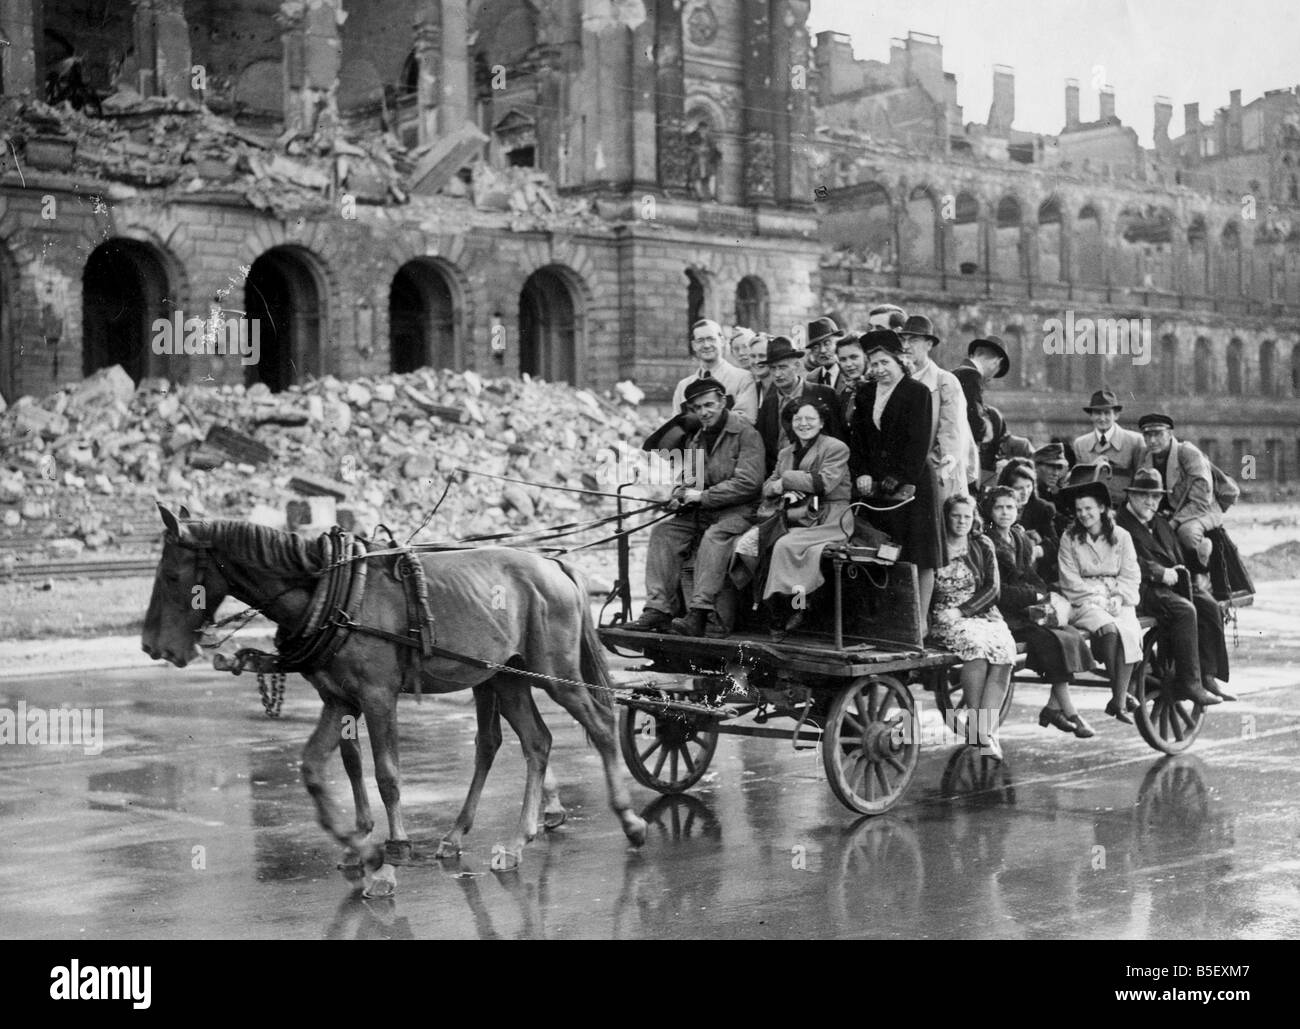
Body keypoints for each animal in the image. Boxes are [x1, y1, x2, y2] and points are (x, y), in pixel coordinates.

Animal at [142, 504, 644, 893]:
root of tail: (553, 565)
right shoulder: (339, 701)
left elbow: (387, 776)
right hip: (506, 678)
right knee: (535, 742)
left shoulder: (378, 697)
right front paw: (359, 846)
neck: (331, 592)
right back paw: (515, 839)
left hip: (555, 674)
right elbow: (317, 767)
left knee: (600, 725)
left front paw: (390, 859)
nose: (152, 646)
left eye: (171, 574)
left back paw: (629, 819)